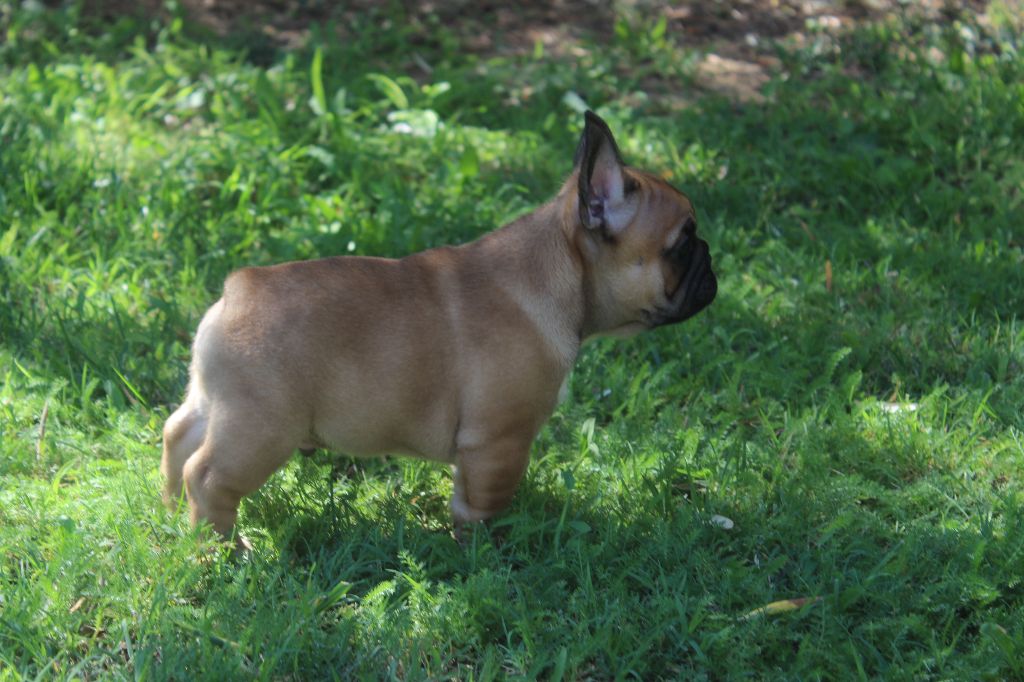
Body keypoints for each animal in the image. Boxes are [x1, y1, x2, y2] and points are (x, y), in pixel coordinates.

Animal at [163, 111, 716, 548]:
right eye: (682, 243)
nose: (712, 261)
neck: (560, 270)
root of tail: (238, 291)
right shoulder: (498, 441)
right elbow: (482, 503)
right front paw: (484, 552)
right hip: (263, 427)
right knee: (208, 476)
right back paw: (224, 548)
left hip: (216, 404)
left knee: (178, 433)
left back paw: (172, 513)